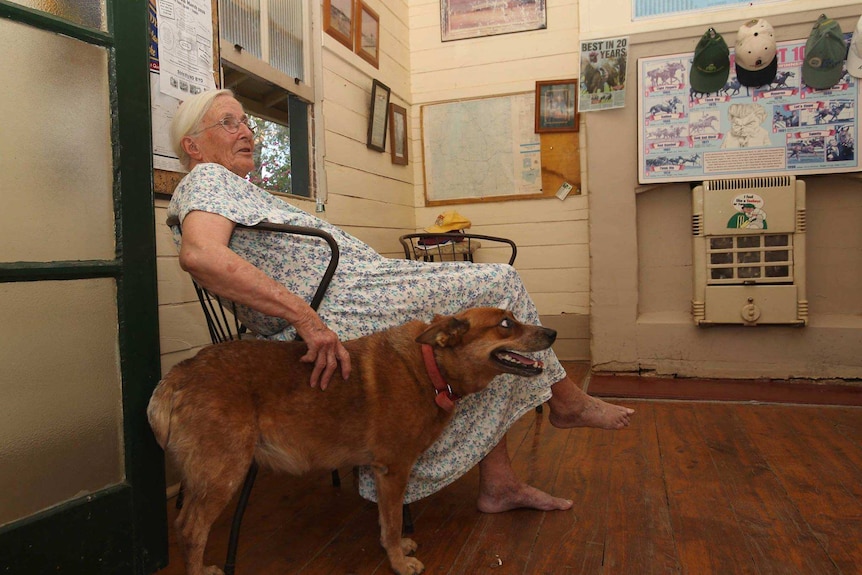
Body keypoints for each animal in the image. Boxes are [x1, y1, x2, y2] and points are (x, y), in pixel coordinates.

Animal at [147, 308, 552, 575]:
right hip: (224, 473)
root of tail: (180, 372)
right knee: (190, 530)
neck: (429, 366)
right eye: (505, 324)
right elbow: (392, 521)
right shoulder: (393, 470)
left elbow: (386, 521)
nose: (551, 333)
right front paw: (399, 562)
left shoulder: (381, 472)